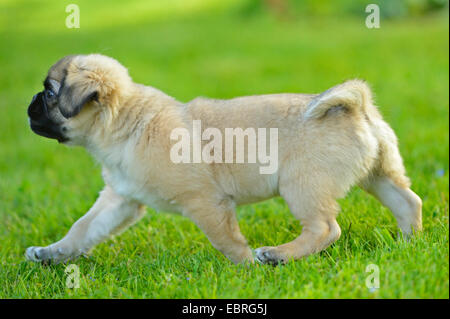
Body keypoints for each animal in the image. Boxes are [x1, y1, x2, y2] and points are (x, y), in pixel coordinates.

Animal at [25, 54, 422, 264]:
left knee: (325, 229)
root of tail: (356, 106)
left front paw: (247, 269)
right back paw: (408, 243)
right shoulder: (119, 201)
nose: (29, 105)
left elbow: (227, 242)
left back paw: (277, 255)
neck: (128, 119)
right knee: (408, 201)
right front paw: (52, 254)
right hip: (379, 175)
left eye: (50, 93)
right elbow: (83, 229)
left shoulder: (206, 203)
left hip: (301, 186)